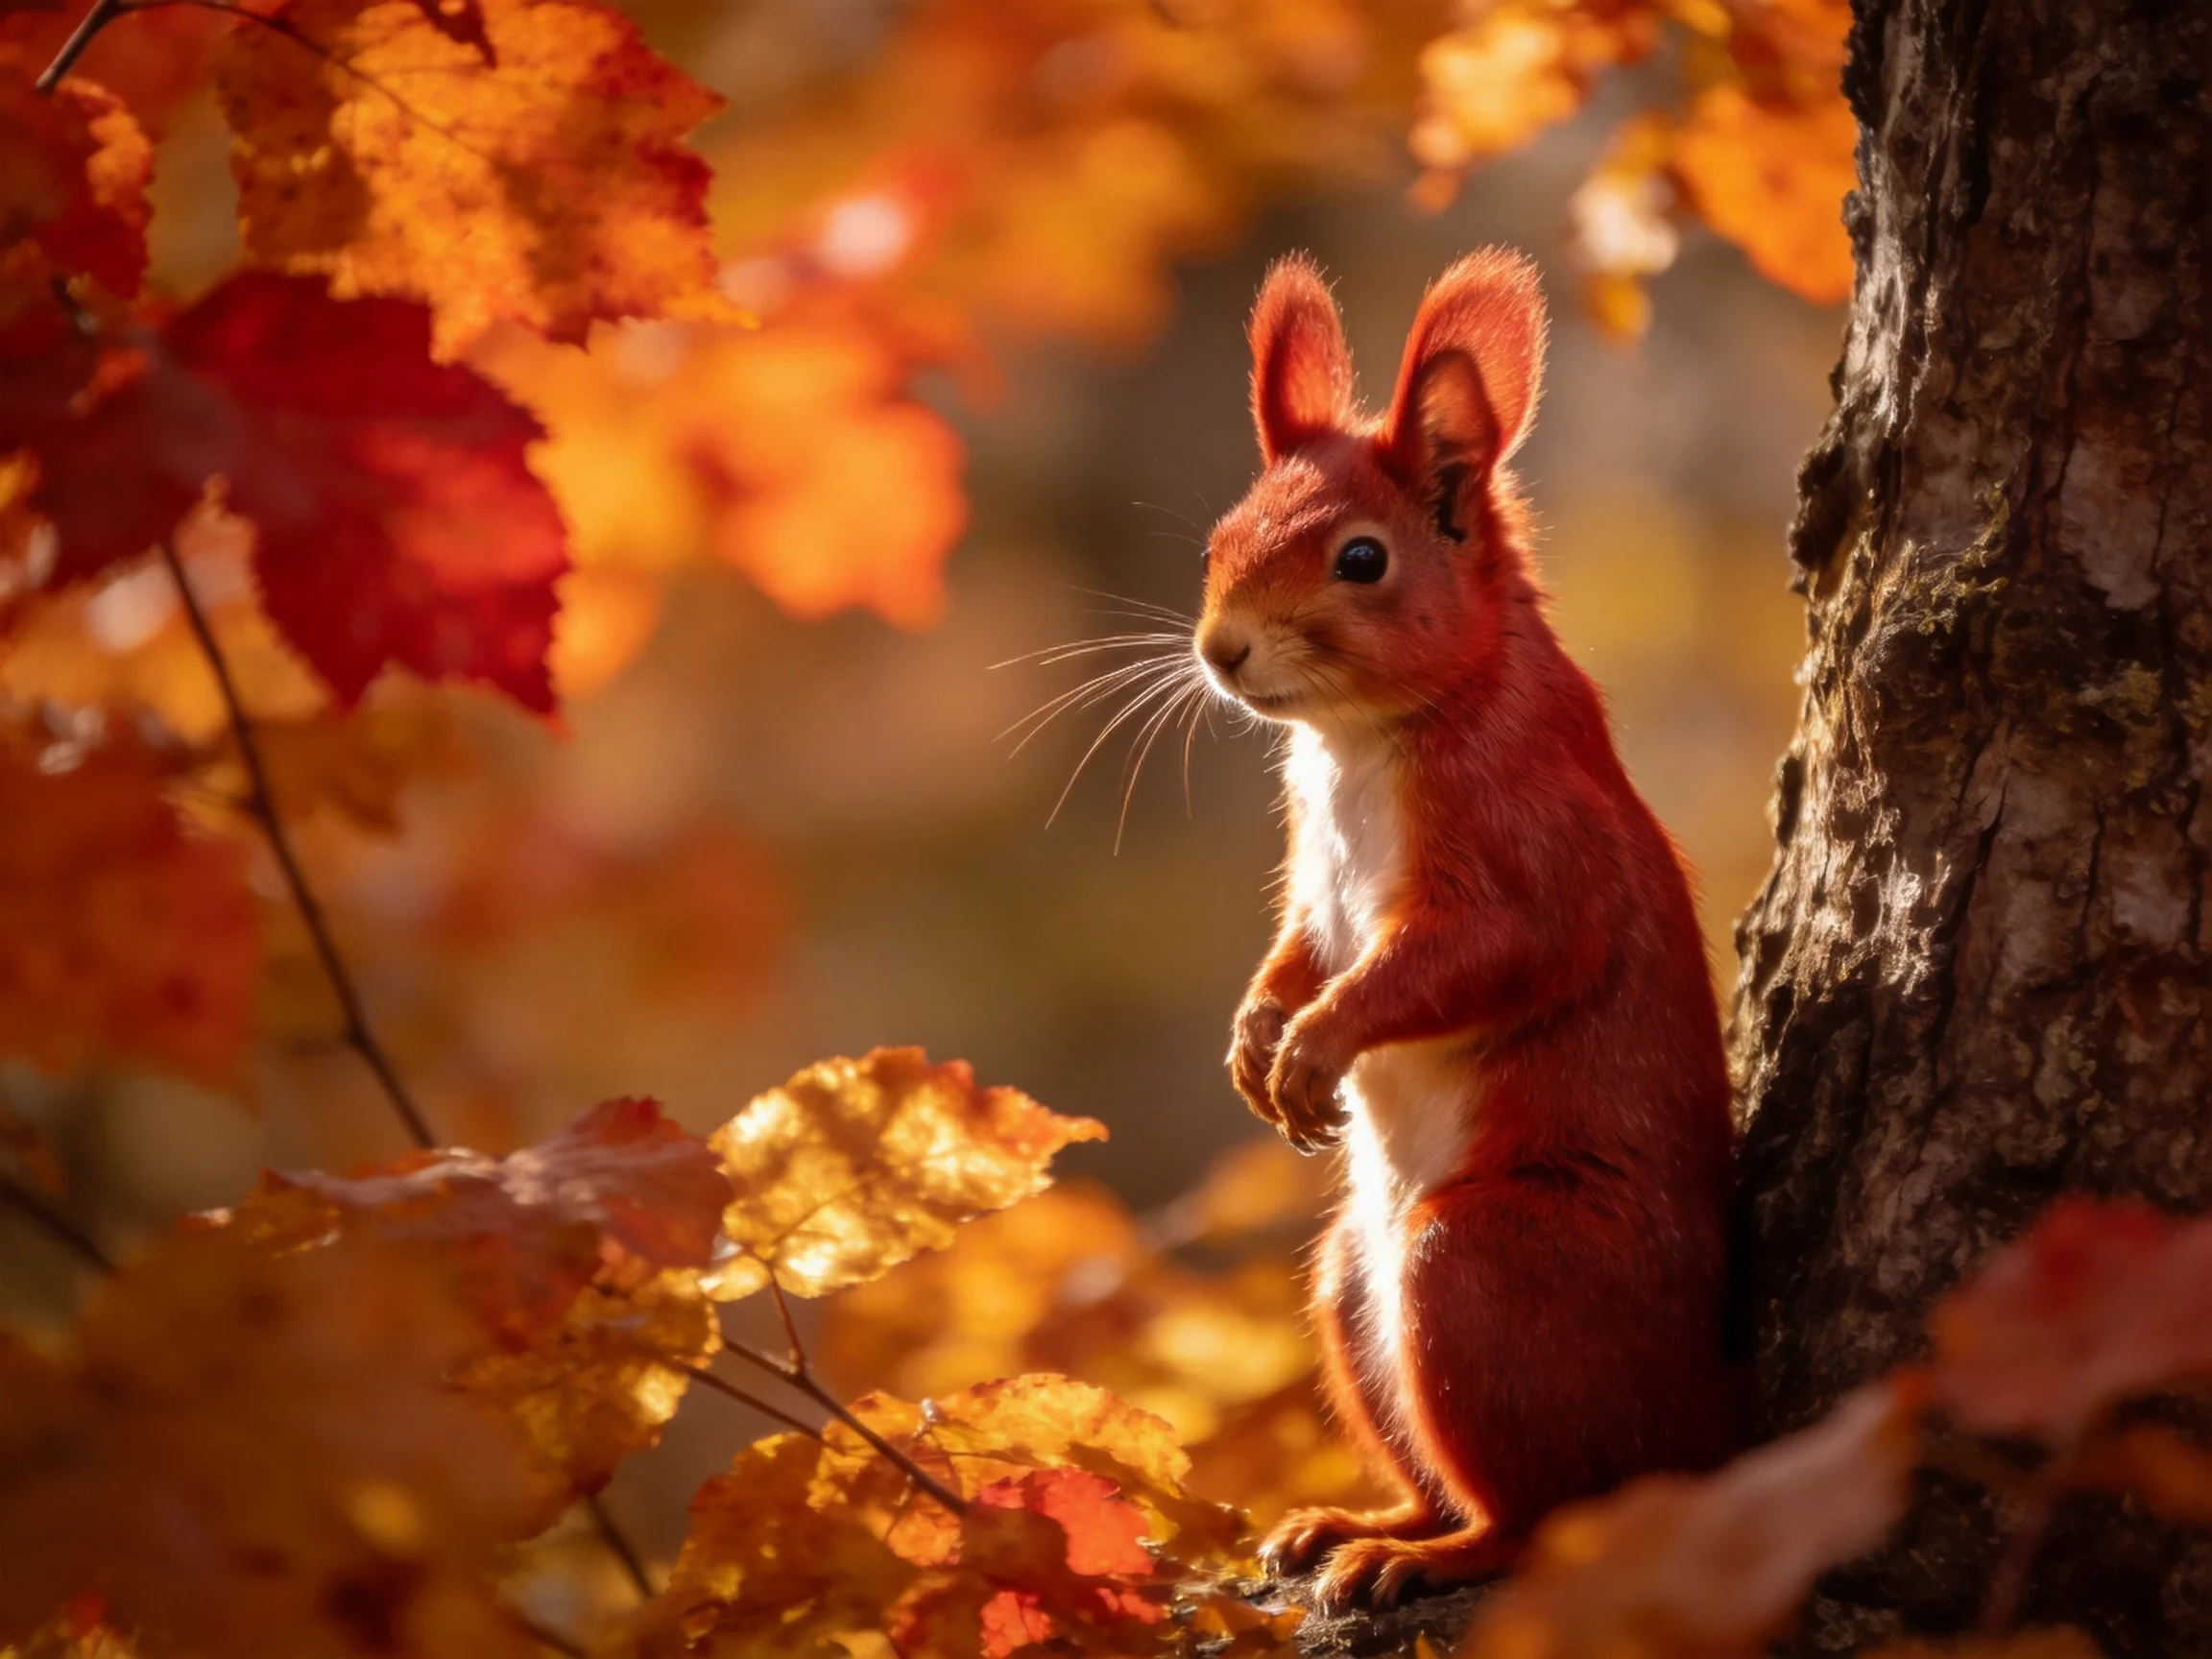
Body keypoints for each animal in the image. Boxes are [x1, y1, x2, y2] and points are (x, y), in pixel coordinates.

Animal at [1195, 251, 1741, 1610]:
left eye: (1363, 559)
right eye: (1219, 539)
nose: (1220, 651)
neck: (1356, 739)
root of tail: (1703, 1420)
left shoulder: (1526, 841)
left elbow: (1477, 957)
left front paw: (1315, 1046)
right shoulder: (1315, 879)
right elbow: (1296, 949)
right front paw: (1254, 1041)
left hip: (1480, 1271)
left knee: (1538, 1516)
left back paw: (1419, 1555)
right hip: (1351, 1284)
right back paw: (1354, 1522)